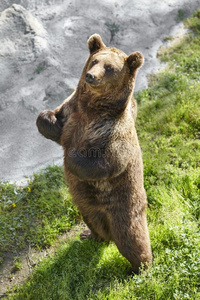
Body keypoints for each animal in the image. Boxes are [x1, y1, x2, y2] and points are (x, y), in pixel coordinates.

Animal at [36, 34, 152, 274]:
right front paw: (49, 124)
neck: (93, 110)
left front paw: (70, 157)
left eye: (110, 68)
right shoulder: (71, 110)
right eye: (94, 60)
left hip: (124, 203)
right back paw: (90, 235)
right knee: (94, 222)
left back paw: (139, 268)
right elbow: (50, 118)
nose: (91, 76)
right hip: (86, 204)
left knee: (131, 237)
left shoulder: (113, 134)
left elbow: (105, 162)